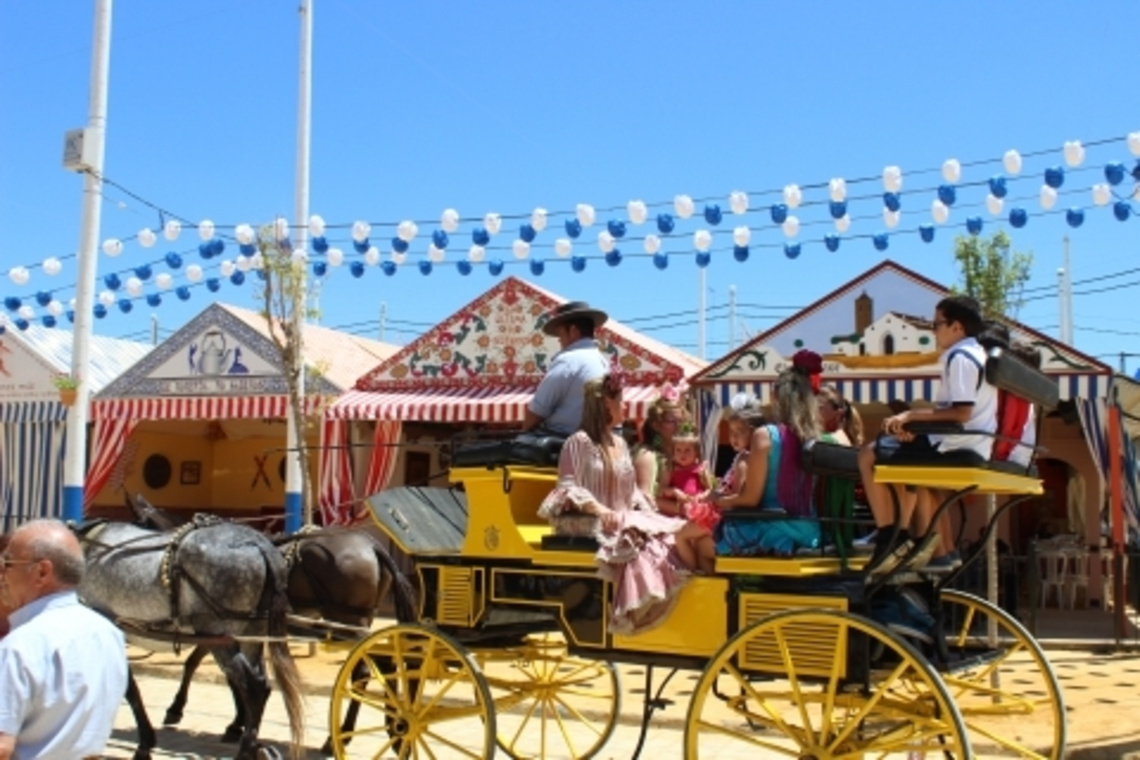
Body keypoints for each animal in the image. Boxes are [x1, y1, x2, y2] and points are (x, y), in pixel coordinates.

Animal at [79, 517, 307, 760]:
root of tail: (260, 545)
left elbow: (129, 688)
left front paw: (145, 744)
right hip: (250, 635)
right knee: (258, 684)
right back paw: (254, 745)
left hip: (220, 635)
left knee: (254, 687)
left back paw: (245, 749)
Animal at [129, 499, 421, 756]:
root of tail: (372, 545)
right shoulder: (224, 627)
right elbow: (219, 670)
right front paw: (238, 723)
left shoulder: (216, 624)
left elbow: (203, 666)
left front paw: (179, 709)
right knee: (378, 668)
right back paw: (386, 728)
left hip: (348, 622)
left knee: (369, 670)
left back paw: (353, 734)